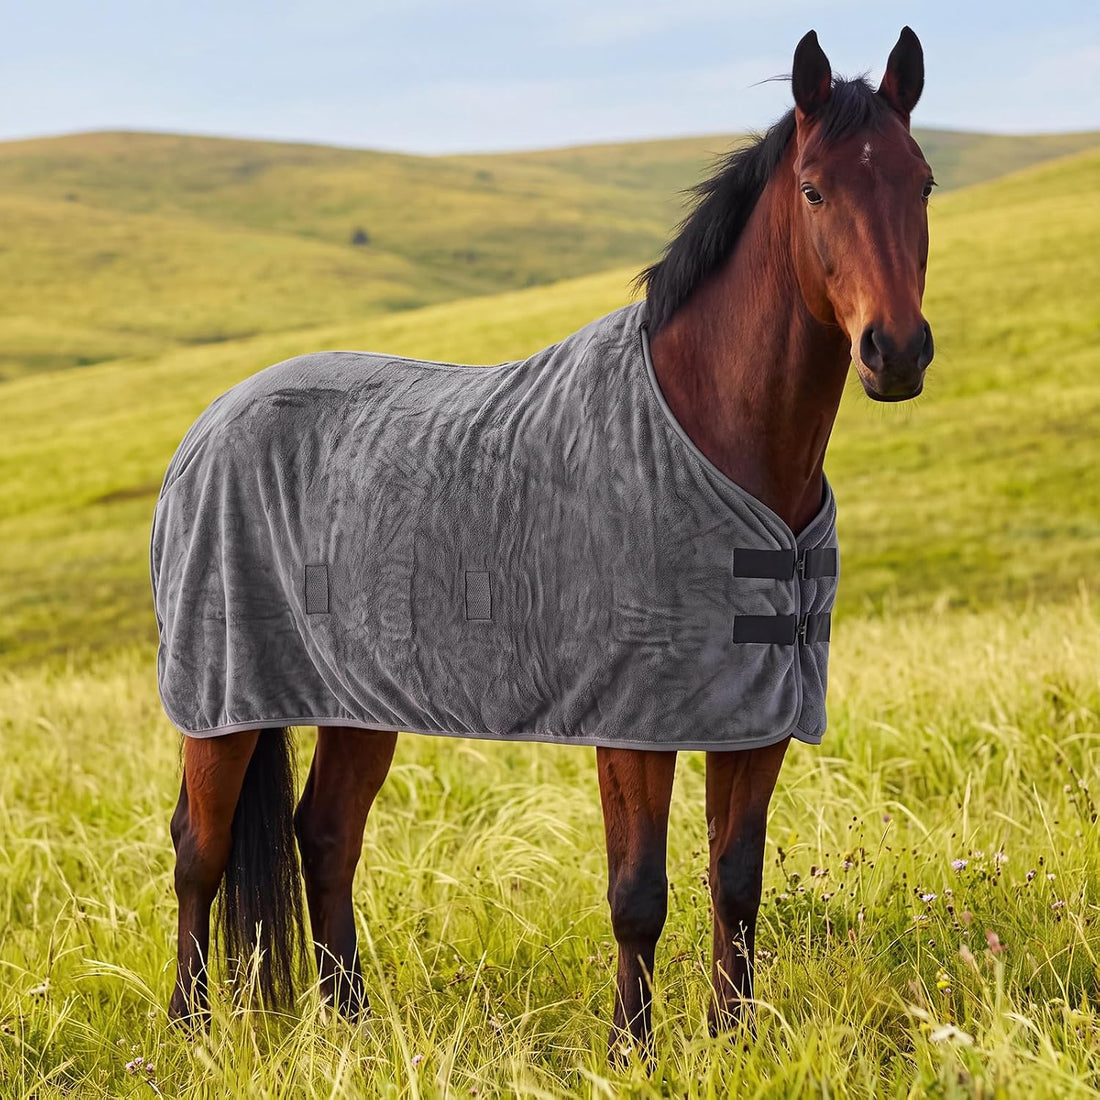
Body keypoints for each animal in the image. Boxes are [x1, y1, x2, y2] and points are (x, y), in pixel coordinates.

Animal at [163, 27, 934, 1055]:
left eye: (922, 183)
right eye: (814, 190)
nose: (897, 352)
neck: (709, 430)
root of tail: (210, 423)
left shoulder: (755, 707)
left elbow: (736, 882)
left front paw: (734, 1042)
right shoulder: (636, 721)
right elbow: (638, 894)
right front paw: (631, 1050)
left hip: (358, 701)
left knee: (324, 836)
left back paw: (352, 1023)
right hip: (223, 699)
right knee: (199, 850)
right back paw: (187, 1033)